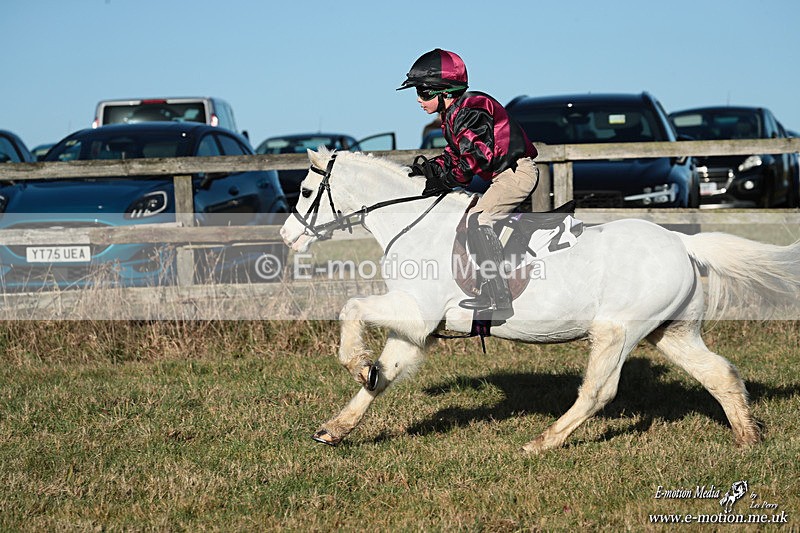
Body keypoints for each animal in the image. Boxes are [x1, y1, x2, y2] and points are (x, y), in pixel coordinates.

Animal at [279, 147, 800, 453]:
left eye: (304, 190)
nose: (287, 237)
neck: (415, 224)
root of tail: (682, 243)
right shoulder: (414, 327)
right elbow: (382, 377)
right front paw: (336, 426)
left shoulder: (416, 312)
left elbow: (351, 310)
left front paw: (355, 361)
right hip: (671, 333)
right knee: (720, 374)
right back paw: (748, 438)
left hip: (617, 331)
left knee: (598, 392)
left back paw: (542, 442)